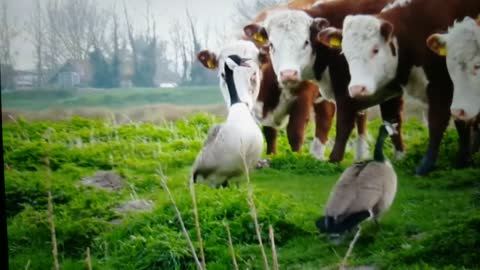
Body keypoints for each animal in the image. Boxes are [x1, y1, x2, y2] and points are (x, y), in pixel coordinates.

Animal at [244, 0, 404, 165]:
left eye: (306, 42)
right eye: (271, 45)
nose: (288, 74)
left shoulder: (313, 92)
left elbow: (296, 130)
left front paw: (296, 157)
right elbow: (269, 132)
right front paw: (272, 156)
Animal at [318, 0, 480, 175]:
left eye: (375, 49)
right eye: (345, 53)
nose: (356, 89)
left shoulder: (442, 85)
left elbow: (439, 121)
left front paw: (428, 165)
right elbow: (392, 121)